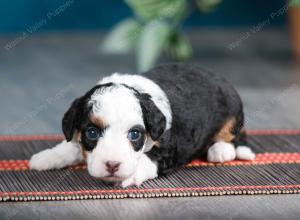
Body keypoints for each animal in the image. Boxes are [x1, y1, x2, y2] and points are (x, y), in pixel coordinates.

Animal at [29, 63, 255, 187]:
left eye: (135, 134)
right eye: (92, 133)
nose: (112, 165)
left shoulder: (166, 150)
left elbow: (147, 159)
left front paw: (129, 175)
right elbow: (71, 145)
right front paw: (45, 158)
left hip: (233, 111)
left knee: (234, 136)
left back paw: (221, 150)